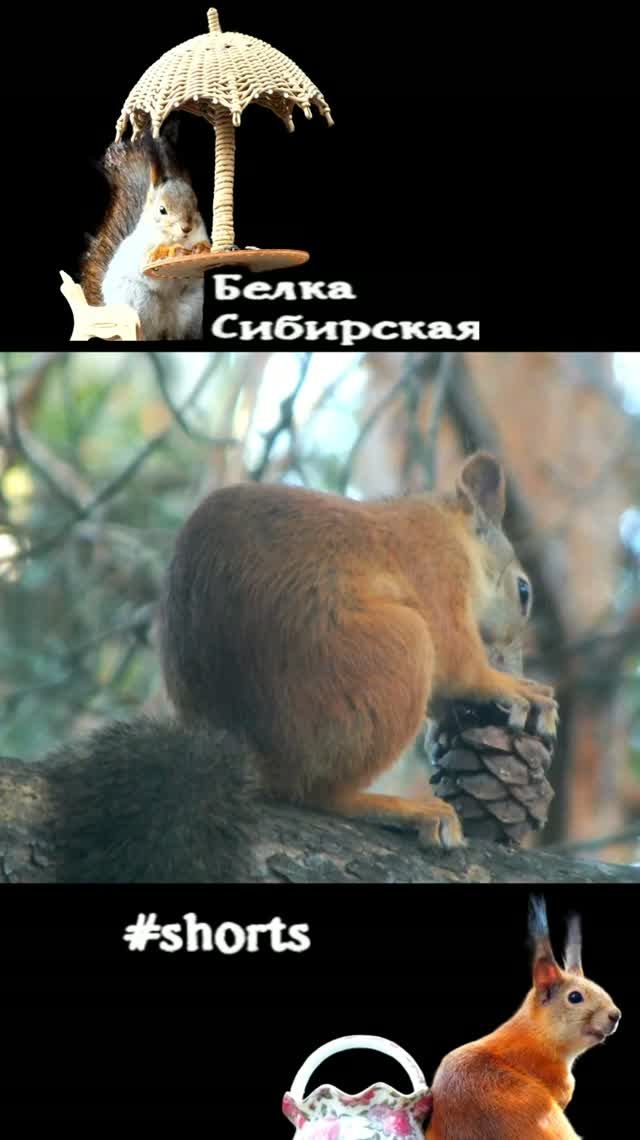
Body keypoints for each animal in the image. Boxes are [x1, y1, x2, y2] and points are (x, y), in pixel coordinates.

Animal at [50, 451, 558, 882]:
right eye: (524, 592)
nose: (514, 662)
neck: (450, 534)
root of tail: (257, 754)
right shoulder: (436, 575)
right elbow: (459, 665)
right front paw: (514, 686)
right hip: (396, 654)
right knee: (321, 795)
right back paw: (400, 807)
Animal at [81, 128, 210, 340]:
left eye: (196, 205)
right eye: (162, 210)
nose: (186, 228)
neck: (178, 239)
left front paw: (200, 249)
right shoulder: (141, 251)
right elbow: (150, 260)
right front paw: (173, 251)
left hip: (189, 310)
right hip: (139, 304)